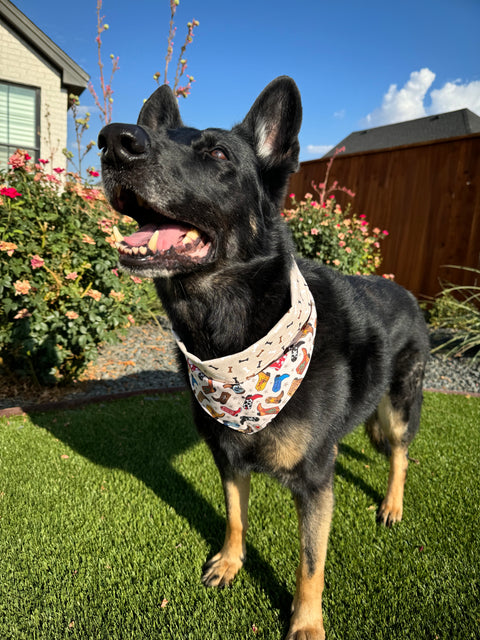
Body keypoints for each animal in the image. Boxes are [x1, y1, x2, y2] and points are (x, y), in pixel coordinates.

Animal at [99, 77, 430, 636]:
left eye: (216, 153)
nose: (114, 141)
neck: (234, 342)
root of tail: (406, 292)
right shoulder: (228, 459)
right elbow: (235, 517)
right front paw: (232, 562)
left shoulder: (315, 484)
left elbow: (311, 562)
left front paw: (307, 622)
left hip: (401, 405)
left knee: (400, 455)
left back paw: (392, 504)